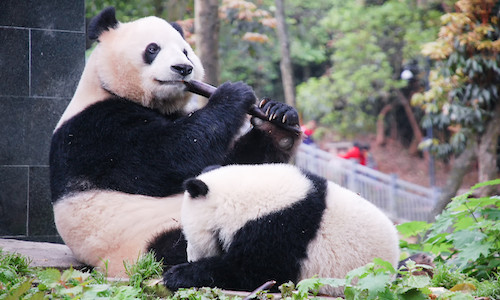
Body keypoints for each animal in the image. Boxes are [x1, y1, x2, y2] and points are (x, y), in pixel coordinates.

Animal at [50, 7, 300, 276]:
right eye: (152, 48)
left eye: (185, 51)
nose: (183, 68)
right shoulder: (97, 131)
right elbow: (165, 156)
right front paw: (233, 94)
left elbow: (231, 166)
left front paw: (278, 119)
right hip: (142, 241)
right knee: (178, 246)